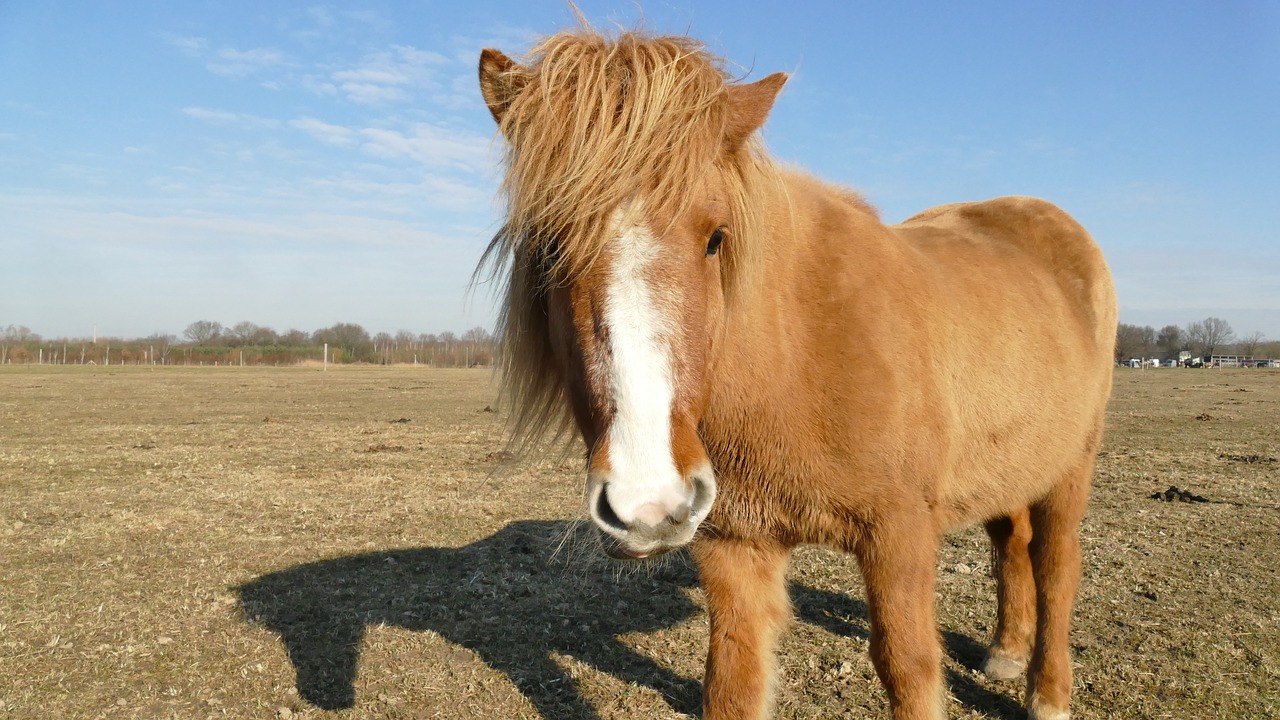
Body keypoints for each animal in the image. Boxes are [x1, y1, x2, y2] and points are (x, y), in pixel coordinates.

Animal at [476, 23, 1116, 717]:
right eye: (547, 246)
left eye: (716, 237)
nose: (646, 500)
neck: (796, 360)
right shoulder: (734, 548)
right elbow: (733, 682)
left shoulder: (900, 535)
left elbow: (908, 666)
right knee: (1010, 540)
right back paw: (1005, 651)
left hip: (1070, 467)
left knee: (1056, 565)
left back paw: (1047, 692)